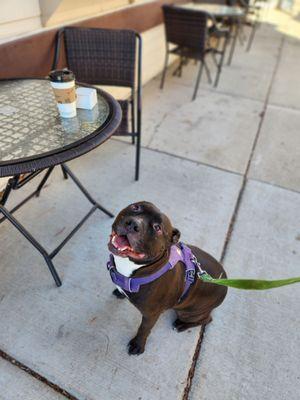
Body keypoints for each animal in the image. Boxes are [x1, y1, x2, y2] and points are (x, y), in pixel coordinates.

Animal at [108, 202, 227, 354]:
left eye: (157, 228)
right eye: (136, 207)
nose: (134, 224)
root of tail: (225, 283)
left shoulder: (151, 314)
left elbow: (144, 329)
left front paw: (138, 345)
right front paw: (120, 292)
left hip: (188, 312)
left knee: (207, 319)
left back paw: (181, 325)